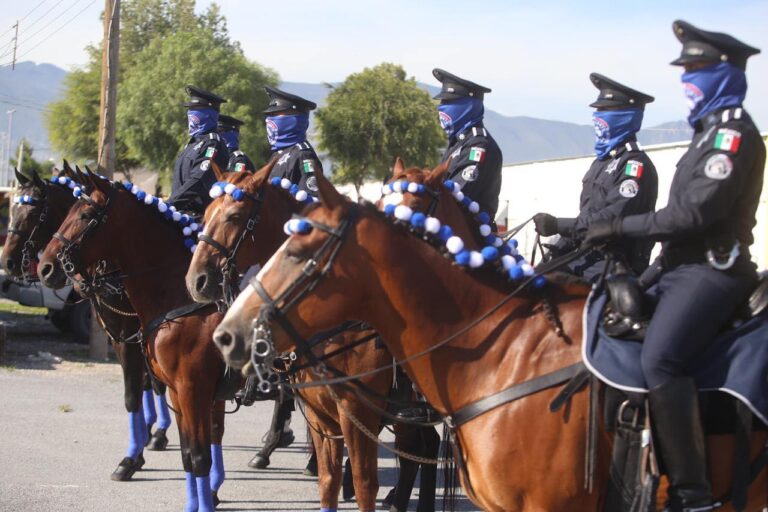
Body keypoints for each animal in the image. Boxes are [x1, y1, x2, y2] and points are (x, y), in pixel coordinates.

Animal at [2, 167, 171, 480]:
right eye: (13, 209)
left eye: (32, 213)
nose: (7, 261)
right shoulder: (122, 335)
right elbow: (140, 387)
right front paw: (144, 440)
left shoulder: (136, 332)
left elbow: (148, 385)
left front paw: (143, 447)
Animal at [37, 170, 228, 510]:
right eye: (67, 211)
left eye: (85, 215)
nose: (45, 267)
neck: (178, 293)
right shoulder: (178, 386)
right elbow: (188, 453)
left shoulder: (188, 384)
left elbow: (197, 453)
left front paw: (135, 457)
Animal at [184, 163, 440, 512]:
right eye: (206, 213)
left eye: (235, 216)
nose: (196, 280)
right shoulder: (321, 418)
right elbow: (328, 480)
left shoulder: (356, 415)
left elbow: (363, 483)